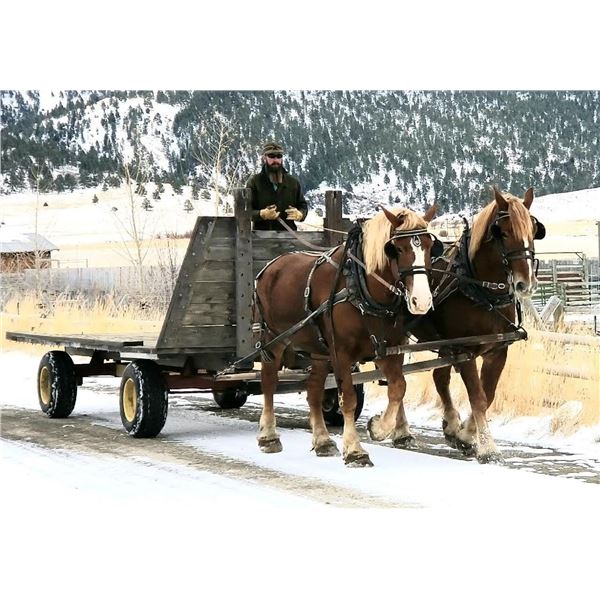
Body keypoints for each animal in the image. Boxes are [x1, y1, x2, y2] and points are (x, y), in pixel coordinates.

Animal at [368, 185, 548, 462]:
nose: (525, 284)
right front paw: (487, 448)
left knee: (435, 376)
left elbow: (488, 394)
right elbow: (478, 397)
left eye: (533, 230)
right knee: (397, 376)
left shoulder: (497, 350)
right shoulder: (465, 350)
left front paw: (465, 434)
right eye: (504, 232)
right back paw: (402, 430)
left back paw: (445, 425)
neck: (481, 291)